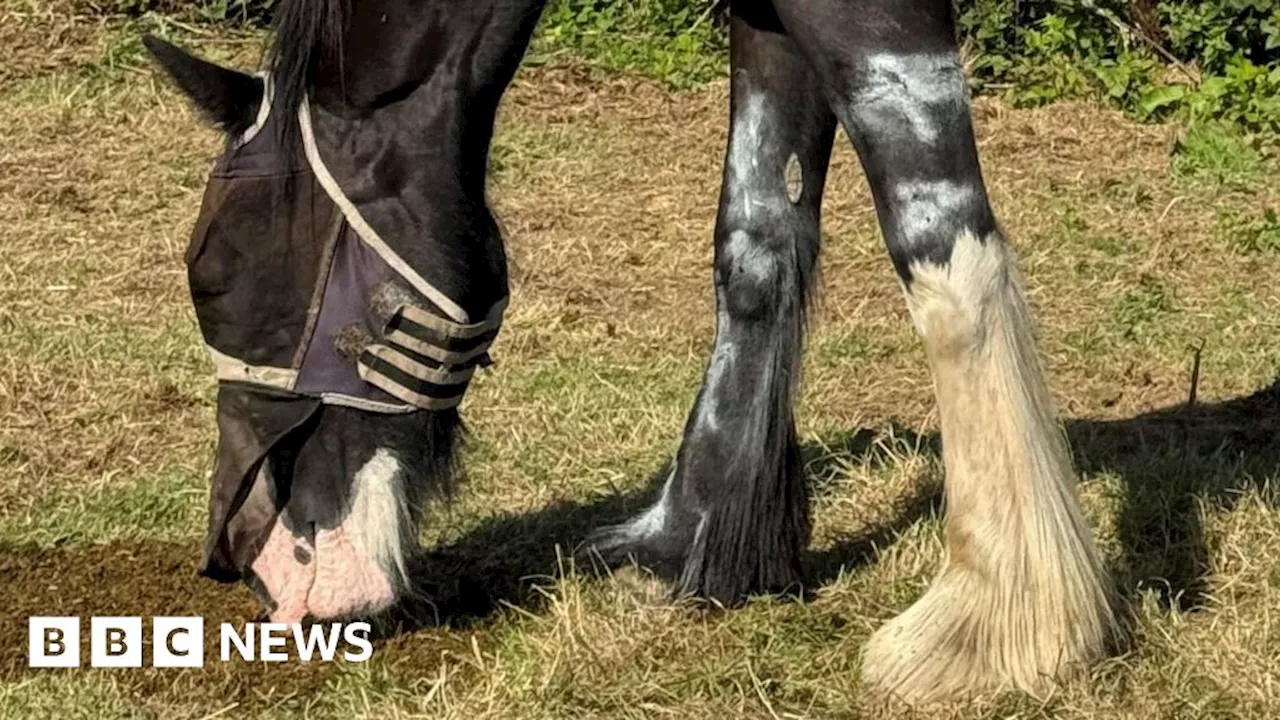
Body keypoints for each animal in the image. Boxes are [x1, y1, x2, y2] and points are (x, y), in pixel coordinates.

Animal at [145, 0, 1116, 702]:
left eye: (214, 277)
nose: (242, 561)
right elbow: (756, 236)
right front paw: (693, 541)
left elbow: (944, 248)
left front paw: (999, 622)